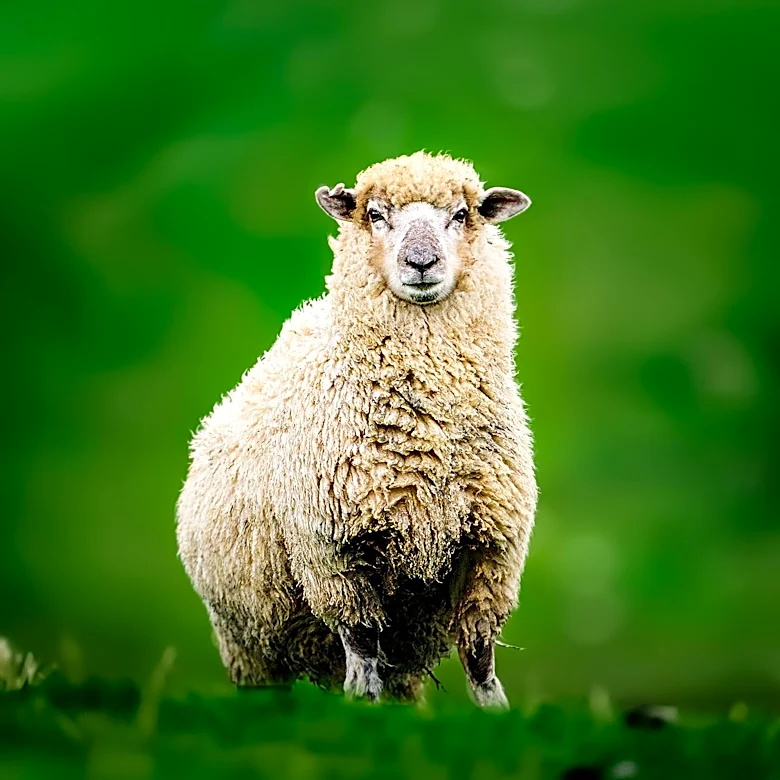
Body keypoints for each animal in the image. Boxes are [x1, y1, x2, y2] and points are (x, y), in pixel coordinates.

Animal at [176, 151, 537, 708]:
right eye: (375, 215)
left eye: (461, 214)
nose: (421, 262)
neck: (428, 432)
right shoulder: (335, 556)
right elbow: (364, 656)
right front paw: (360, 705)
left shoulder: (490, 552)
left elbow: (480, 662)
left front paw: (496, 713)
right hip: (248, 643)